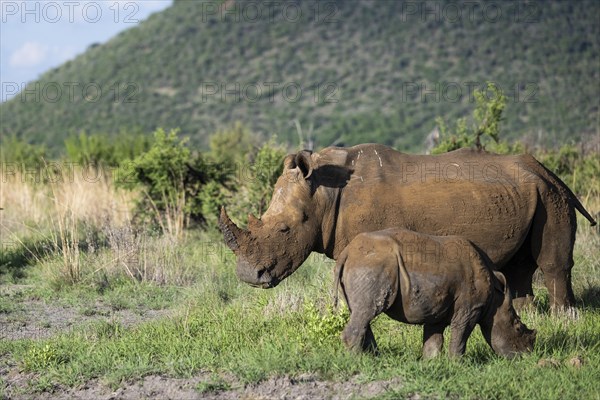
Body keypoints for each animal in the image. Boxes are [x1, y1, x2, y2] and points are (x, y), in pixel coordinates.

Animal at [336, 228, 536, 360]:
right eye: (518, 328)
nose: (527, 356)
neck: (496, 297)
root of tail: (346, 252)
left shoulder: (438, 307)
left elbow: (433, 338)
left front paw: (430, 363)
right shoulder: (470, 309)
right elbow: (461, 335)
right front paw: (457, 364)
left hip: (366, 264)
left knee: (362, 313)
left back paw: (373, 357)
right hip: (371, 265)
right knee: (367, 311)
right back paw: (359, 361)